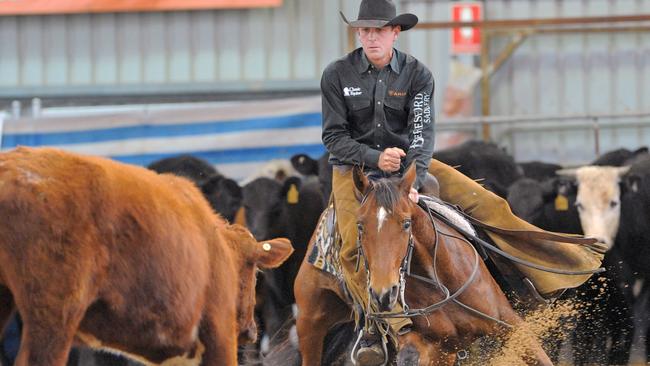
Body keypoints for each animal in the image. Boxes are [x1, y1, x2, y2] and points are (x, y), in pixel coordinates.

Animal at [294, 166, 552, 366]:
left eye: (406, 223)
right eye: (359, 226)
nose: (383, 294)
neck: (440, 282)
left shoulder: (509, 324)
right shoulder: (428, 345)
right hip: (310, 321)